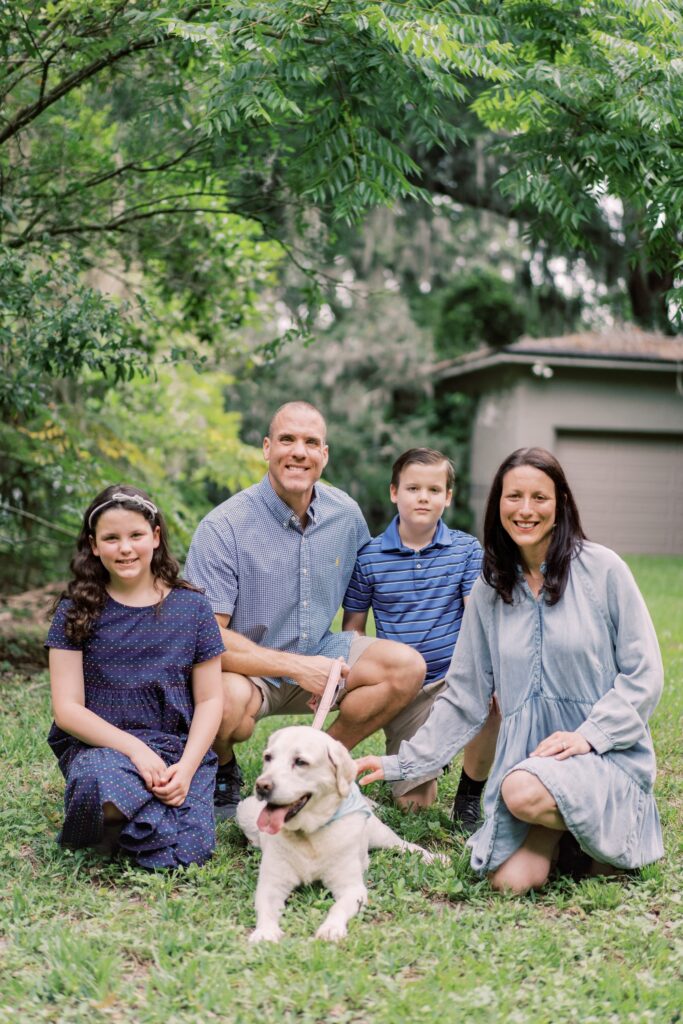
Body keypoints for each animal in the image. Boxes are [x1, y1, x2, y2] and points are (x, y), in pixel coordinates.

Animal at [237, 724, 444, 937]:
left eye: (300, 762)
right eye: (268, 757)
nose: (261, 786)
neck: (309, 836)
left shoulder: (352, 888)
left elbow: (338, 907)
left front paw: (331, 928)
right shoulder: (270, 884)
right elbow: (266, 909)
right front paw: (265, 932)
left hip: (380, 833)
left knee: (403, 844)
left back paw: (434, 857)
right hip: (244, 811)